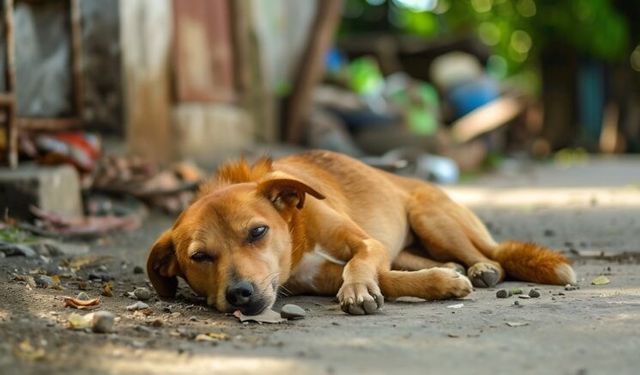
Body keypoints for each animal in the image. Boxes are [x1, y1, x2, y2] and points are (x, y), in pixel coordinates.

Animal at [146, 151, 576, 316]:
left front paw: (357, 291)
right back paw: (453, 269)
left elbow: (360, 264)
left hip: (432, 218)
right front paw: (441, 282)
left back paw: (482, 268)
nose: (240, 294)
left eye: (258, 232)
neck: (297, 232)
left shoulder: (367, 243)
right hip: (410, 243)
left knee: (491, 256)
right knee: (417, 260)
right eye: (199, 257)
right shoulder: (317, 277)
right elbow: (386, 277)